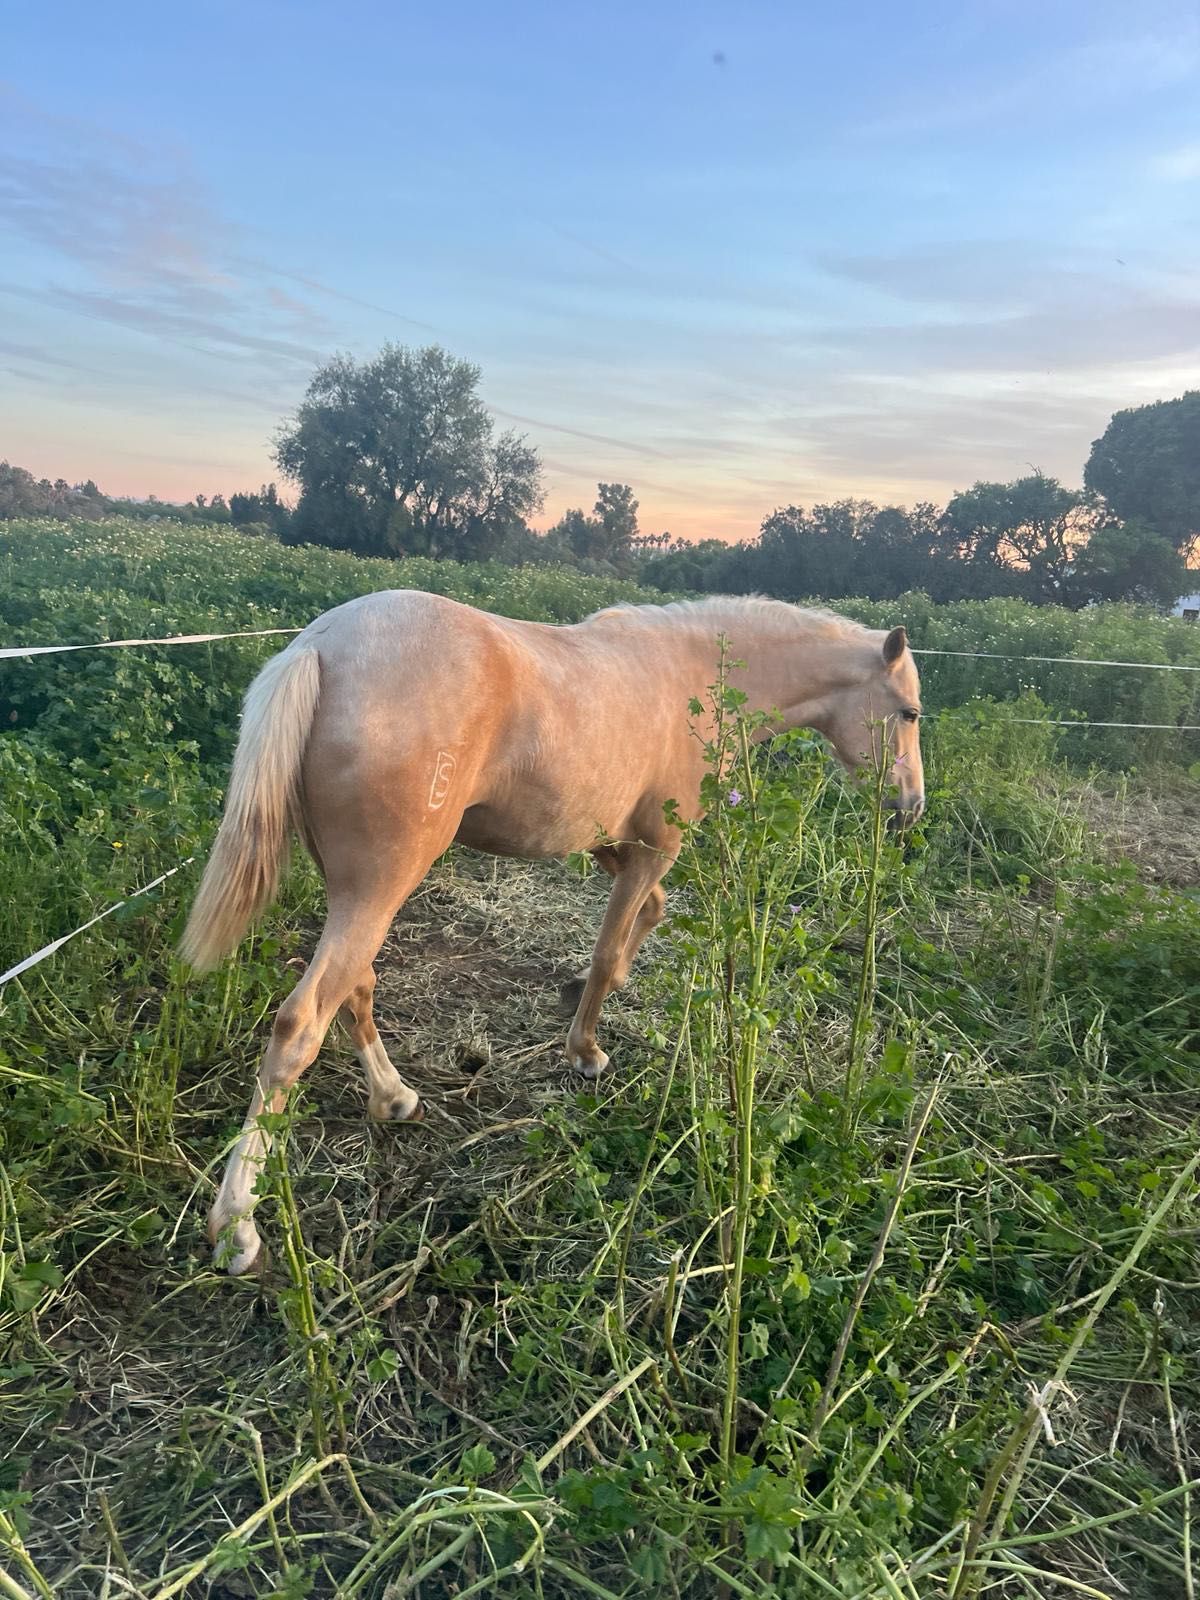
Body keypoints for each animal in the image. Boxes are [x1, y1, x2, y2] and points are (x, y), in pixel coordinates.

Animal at [183, 592, 928, 1273]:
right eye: (910, 713)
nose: (911, 808)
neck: (689, 670)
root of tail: (322, 644)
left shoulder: (612, 845)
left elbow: (647, 917)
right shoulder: (656, 847)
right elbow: (607, 949)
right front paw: (585, 1050)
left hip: (358, 894)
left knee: (354, 989)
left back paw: (395, 1099)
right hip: (377, 890)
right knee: (300, 1025)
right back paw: (237, 1227)